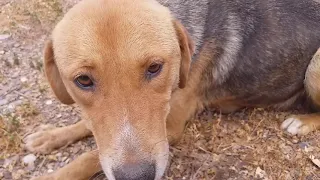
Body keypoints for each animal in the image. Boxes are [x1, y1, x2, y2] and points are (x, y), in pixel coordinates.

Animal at [25, 0, 320, 179]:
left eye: (155, 67)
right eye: (83, 80)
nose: (137, 176)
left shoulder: (170, 128)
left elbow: (89, 157)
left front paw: (56, 175)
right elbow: (89, 126)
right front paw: (50, 136)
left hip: (314, 67)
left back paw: (301, 122)